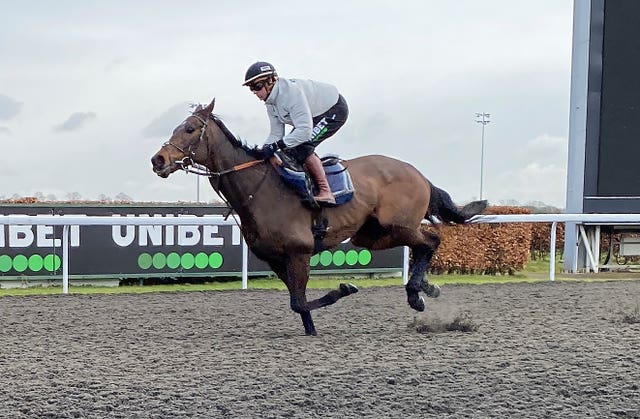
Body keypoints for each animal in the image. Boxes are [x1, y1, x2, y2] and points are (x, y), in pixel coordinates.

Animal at [150, 97, 488, 334]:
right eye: (175, 128)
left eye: (190, 129)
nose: (158, 159)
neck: (259, 190)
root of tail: (418, 173)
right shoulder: (275, 258)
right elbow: (297, 303)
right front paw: (314, 325)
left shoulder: (299, 250)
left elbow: (298, 301)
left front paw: (343, 288)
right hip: (372, 235)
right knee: (422, 244)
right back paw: (426, 287)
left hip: (398, 224)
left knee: (430, 240)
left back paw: (416, 292)